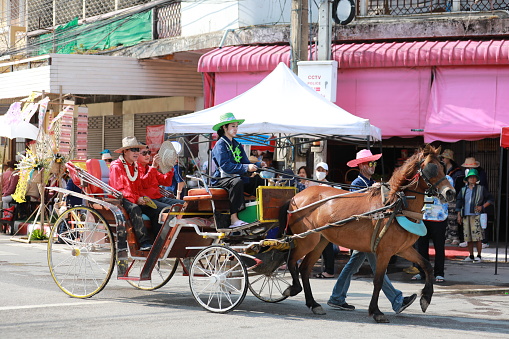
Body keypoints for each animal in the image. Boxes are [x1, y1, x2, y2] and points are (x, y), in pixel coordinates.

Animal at [280, 145, 454, 322]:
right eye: (431, 168)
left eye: (442, 166)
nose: (450, 192)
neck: (395, 205)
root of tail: (296, 197)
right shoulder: (385, 252)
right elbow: (378, 280)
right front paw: (376, 311)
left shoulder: (402, 249)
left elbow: (426, 265)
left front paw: (425, 298)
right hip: (306, 239)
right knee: (292, 260)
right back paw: (293, 289)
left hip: (320, 241)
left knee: (304, 269)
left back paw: (313, 304)